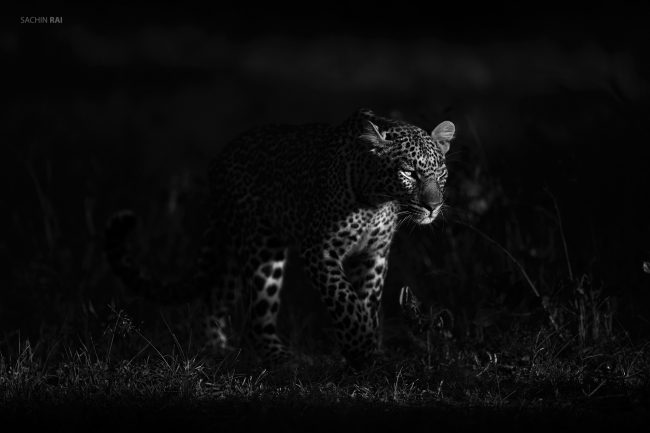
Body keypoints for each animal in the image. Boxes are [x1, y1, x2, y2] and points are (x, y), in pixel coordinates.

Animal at [105, 108, 455, 368]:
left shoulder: (374, 255)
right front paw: (361, 348)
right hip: (262, 248)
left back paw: (217, 350)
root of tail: (219, 160)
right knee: (257, 318)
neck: (375, 200)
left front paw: (365, 350)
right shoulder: (320, 251)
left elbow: (366, 302)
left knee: (215, 298)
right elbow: (345, 301)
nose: (433, 206)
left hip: (233, 253)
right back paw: (281, 359)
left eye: (440, 172)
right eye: (408, 172)